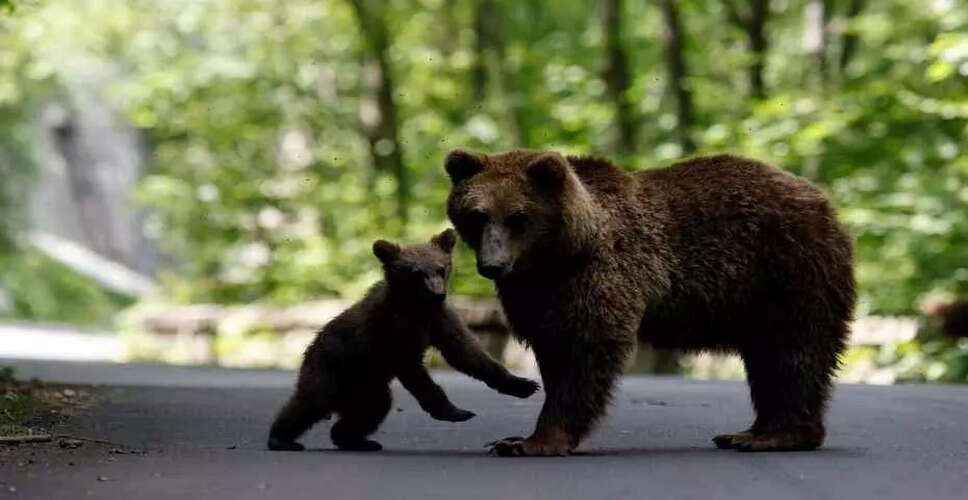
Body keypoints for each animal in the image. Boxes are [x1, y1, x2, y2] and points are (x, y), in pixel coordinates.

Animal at [267, 229, 540, 452]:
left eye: (442, 268)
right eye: (416, 272)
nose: (438, 293)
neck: (417, 308)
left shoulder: (440, 320)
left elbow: (467, 353)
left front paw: (523, 385)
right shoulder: (394, 331)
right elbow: (415, 370)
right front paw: (455, 411)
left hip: (368, 386)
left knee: (372, 409)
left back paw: (355, 439)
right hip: (332, 367)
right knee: (310, 402)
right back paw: (281, 438)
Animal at [444, 149, 856, 456]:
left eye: (518, 216)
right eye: (477, 215)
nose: (492, 265)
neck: (557, 258)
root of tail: (822, 200)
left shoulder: (603, 274)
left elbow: (586, 349)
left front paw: (533, 441)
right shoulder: (533, 295)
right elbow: (552, 347)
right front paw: (518, 435)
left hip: (787, 272)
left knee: (792, 352)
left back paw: (776, 434)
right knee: (770, 359)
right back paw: (749, 432)